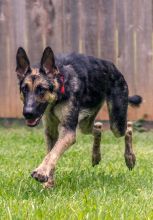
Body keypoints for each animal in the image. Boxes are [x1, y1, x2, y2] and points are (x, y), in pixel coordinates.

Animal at [15, 46, 142, 187]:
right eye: (24, 89)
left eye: (41, 89)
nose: (28, 113)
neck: (60, 89)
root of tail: (113, 67)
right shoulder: (51, 132)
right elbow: (51, 153)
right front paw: (49, 183)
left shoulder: (68, 132)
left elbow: (53, 153)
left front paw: (42, 172)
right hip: (85, 124)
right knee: (97, 128)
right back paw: (96, 156)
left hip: (116, 123)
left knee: (128, 128)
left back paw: (130, 158)